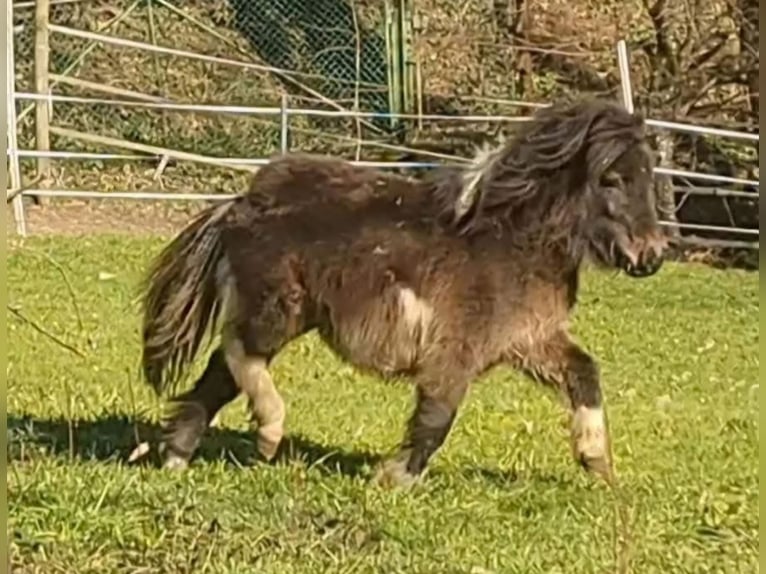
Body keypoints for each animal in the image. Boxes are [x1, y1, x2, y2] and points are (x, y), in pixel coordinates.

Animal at [141, 98, 668, 486]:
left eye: (649, 176)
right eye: (612, 179)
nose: (652, 257)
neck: (510, 238)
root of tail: (241, 202)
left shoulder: (531, 340)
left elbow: (585, 374)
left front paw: (596, 461)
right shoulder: (456, 350)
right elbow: (437, 415)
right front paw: (394, 478)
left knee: (219, 373)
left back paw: (177, 457)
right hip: (279, 307)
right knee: (238, 351)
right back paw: (269, 431)